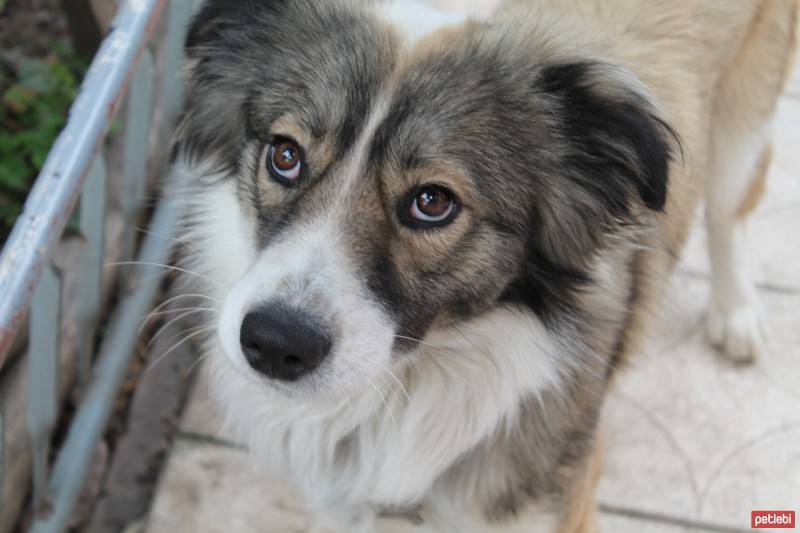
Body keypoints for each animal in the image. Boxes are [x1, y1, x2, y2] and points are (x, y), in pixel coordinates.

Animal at [172, 2, 796, 528]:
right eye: (285, 155)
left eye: (432, 202)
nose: (275, 343)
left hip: (743, 127)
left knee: (730, 212)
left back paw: (737, 313)